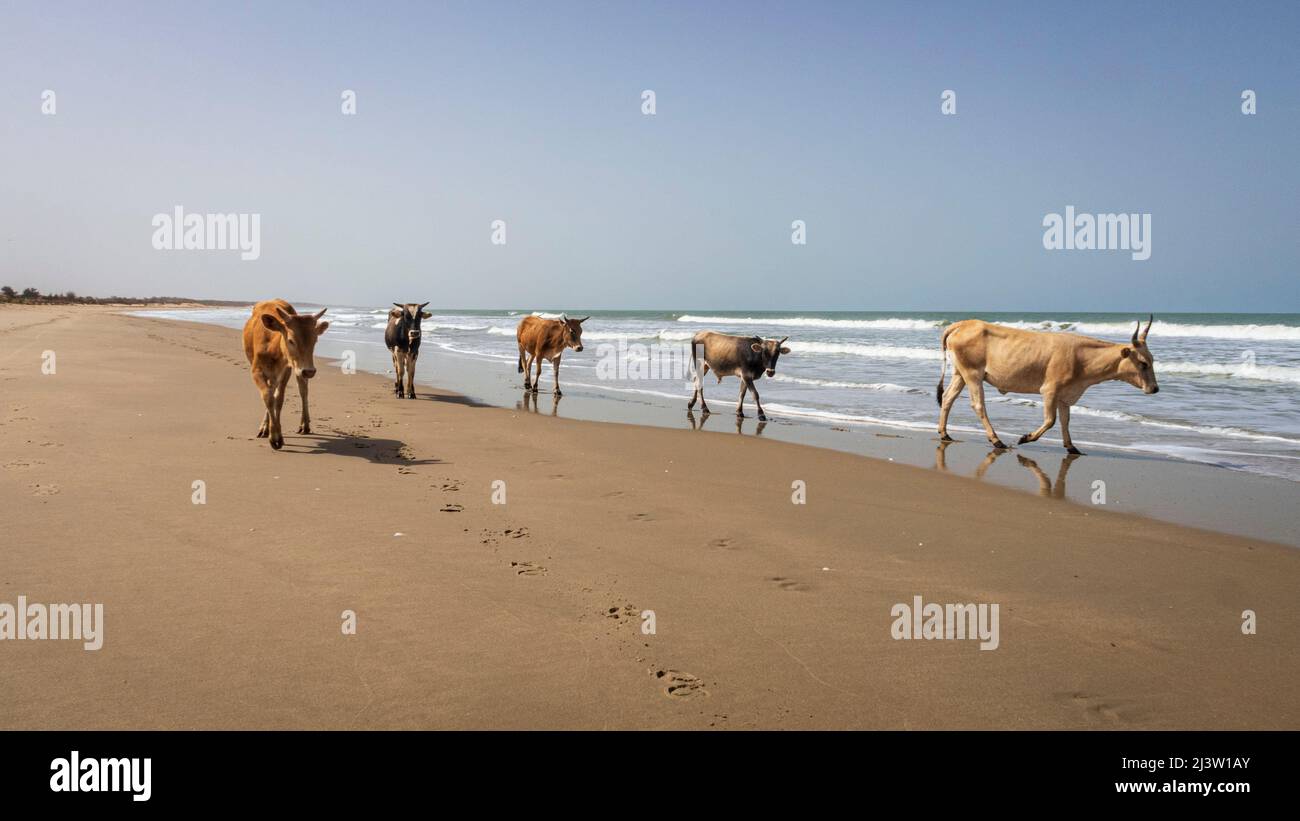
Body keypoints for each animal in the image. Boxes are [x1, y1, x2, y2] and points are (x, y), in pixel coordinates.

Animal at [241, 300, 330, 449]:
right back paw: (265, 427)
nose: (309, 371)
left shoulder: (286, 370)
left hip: (296, 369)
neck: (272, 347)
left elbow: (279, 400)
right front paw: (272, 435)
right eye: (291, 340)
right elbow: (268, 397)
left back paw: (304, 425)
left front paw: (276, 436)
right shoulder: (256, 371)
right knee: (271, 392)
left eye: (315, 340)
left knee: (303, 391)